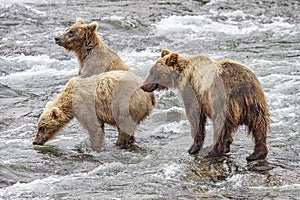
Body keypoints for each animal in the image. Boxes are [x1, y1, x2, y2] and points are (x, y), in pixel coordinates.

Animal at [141, 49, 270, 161]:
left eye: (152, 72)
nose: (143, 86)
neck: (181, 76)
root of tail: (242, 84)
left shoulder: (194, 94)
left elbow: (195, 118)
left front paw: (193, 148)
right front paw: (228, 143)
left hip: (222, 101)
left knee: (221, 124)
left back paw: (213, 151)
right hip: (255, 101)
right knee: (259, 125)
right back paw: (256, 154)